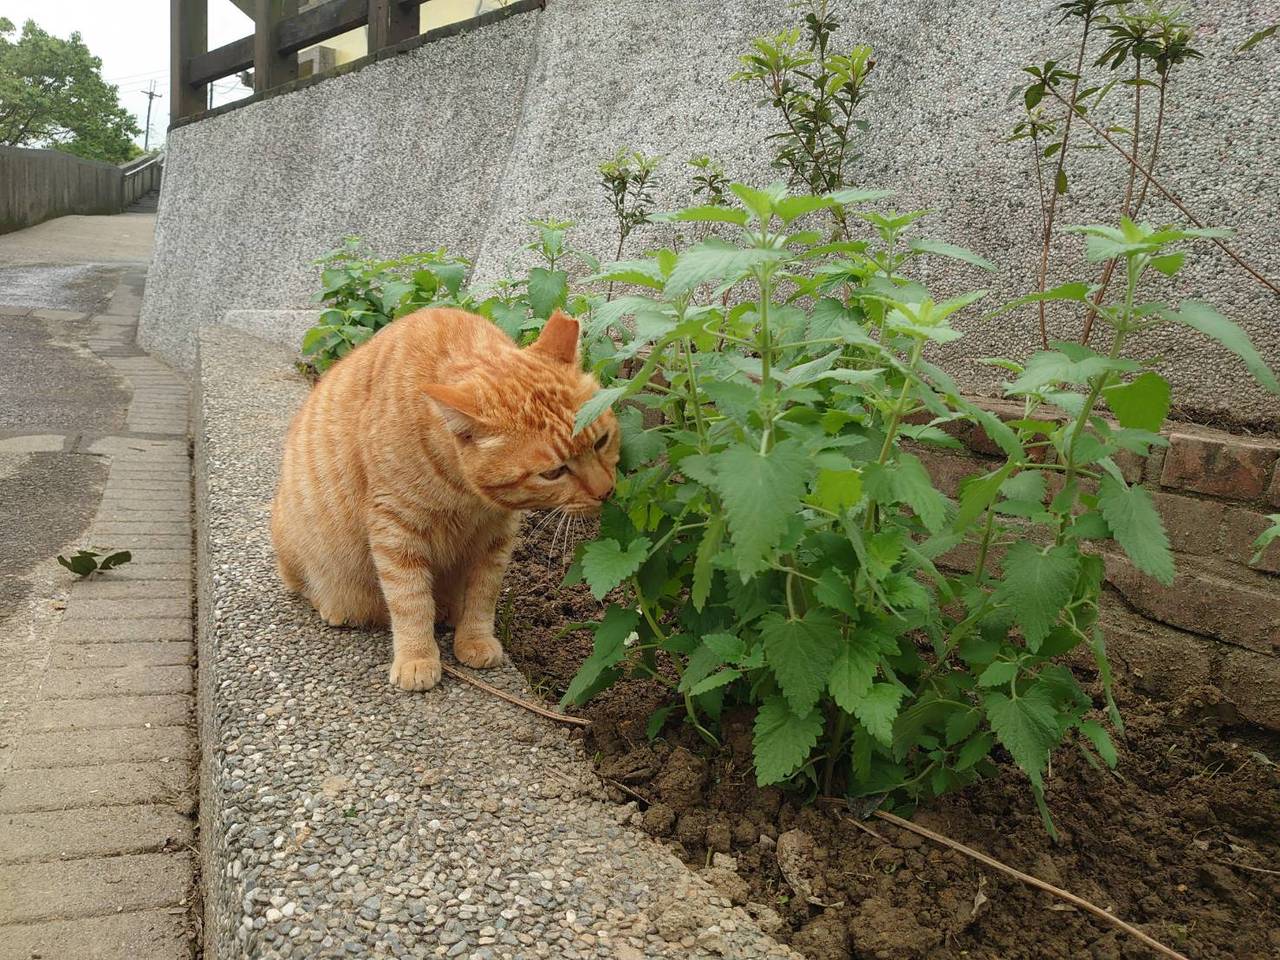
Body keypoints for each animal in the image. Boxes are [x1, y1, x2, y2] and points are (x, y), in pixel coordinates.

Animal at [272, 308, 622, 691]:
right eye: (554, 472)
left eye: (601, 441)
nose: (605, 491)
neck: (465, 495)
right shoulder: (395, 528)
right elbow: (410, 599)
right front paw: (417, 657)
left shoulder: (496, 537)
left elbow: (483, 595)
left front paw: (475, 639)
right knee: (304, 585)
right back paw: (335, 607)